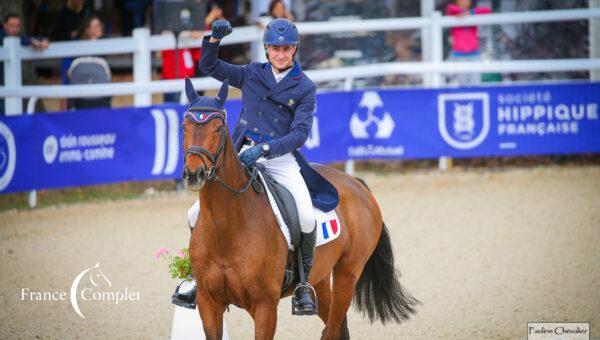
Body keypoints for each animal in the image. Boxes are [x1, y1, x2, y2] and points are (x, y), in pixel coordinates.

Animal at [183, 80, 418, 340]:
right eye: (184, 126)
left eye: (218, 129)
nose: (194, 173)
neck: (229, 226)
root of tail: (357, 184)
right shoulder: (208, 302)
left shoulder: (265, 306)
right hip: (320, 278)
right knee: (338, 327)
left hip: (348, 274)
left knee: (333, 328)